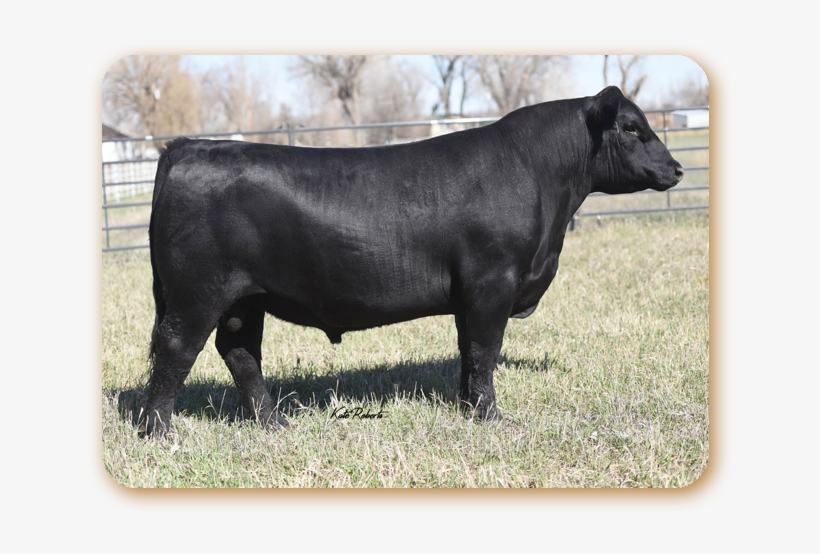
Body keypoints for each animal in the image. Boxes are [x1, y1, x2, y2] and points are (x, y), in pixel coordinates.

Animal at [141, 86, 683, 438]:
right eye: (632, 127)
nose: (677, 169)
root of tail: (189, 147)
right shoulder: (493, 281)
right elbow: (485, 349)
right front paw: (490, 417)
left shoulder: (471, 293)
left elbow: (468, 351)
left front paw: (468, 406)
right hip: (196, 293)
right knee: (176, 349)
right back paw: (157, 431)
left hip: (245, 298)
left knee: (240, 351)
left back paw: (273, 422)